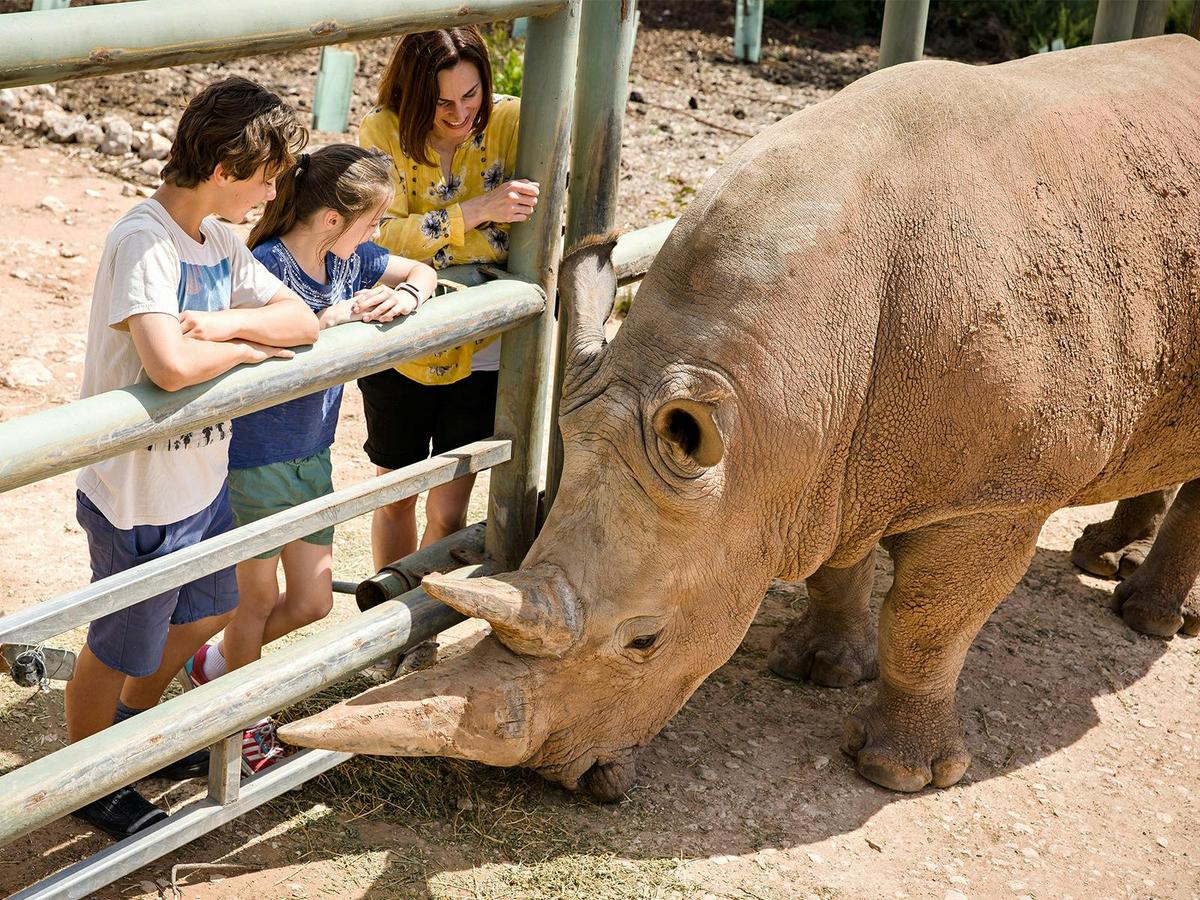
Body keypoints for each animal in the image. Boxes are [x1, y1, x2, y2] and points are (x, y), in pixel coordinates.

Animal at [280, 35, 1200, 796]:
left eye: (645, 643)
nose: (556, 778)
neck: (778, 393)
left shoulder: (997, 492)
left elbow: (929, 621)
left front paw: (899, 774)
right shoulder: (827, 453)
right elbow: (838, 560)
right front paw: (820, 669)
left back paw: (1148, 618)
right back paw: (1106, 560)